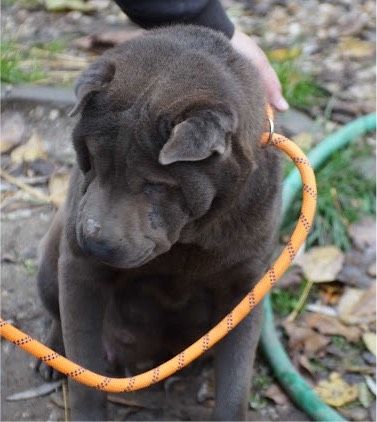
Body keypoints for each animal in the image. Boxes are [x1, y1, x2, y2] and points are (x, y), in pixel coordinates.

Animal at [36, 24, 280, 420]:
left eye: (156, 185)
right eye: (89, 158)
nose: (93, 240)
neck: (187, 238)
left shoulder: (244, 286)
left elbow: (236, 381)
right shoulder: (80, 269)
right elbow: (85, 372)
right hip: (50, 258)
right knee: (59, 316)